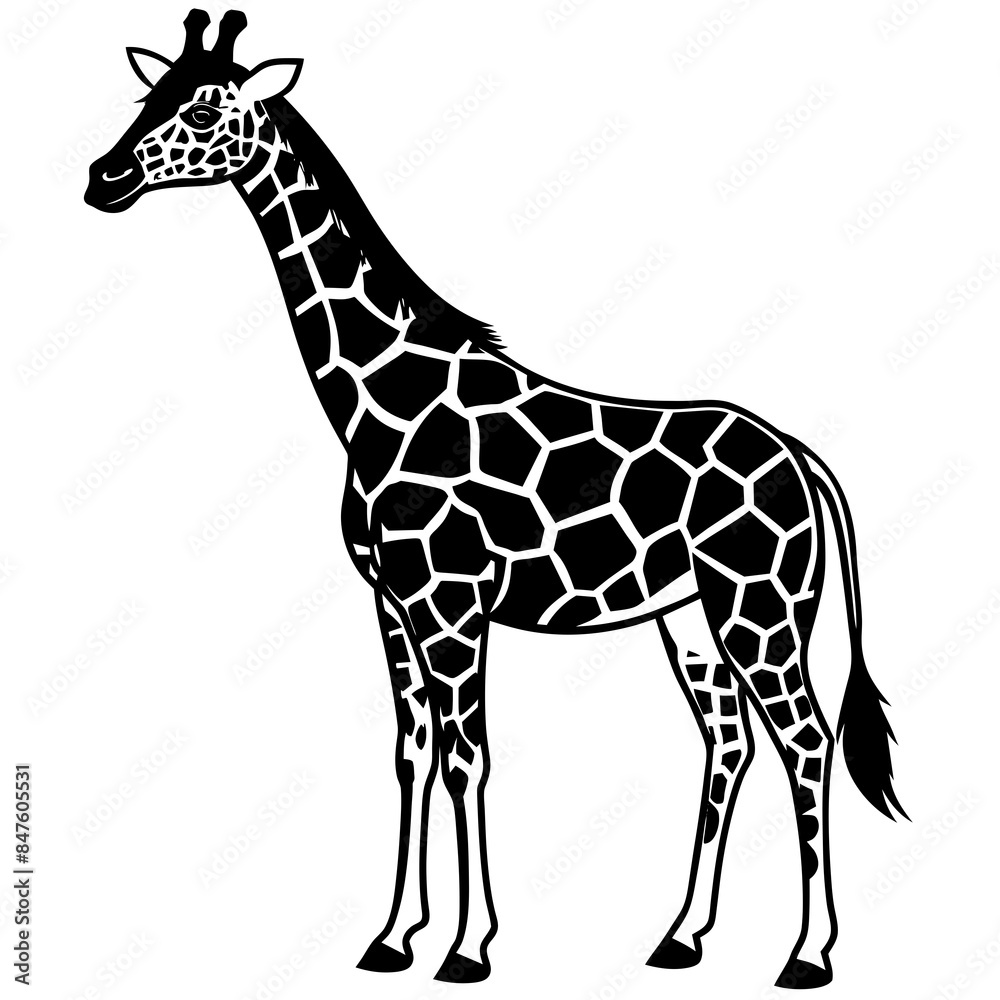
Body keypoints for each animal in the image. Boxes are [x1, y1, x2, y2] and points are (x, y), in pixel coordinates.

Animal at [84, 11, 906, 989]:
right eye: (150, 97)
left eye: (208, 107)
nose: (103, 179)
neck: (381, 399)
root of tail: (804, 460)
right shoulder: (392, 604)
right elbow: (412, 754)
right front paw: (392, 938)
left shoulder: (452, 604)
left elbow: (467, 758)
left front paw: (468, 948)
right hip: (692, 616)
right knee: (729, 741)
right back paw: (681, 937)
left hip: (762, 607)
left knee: (807, 742)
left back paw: (808, 955)